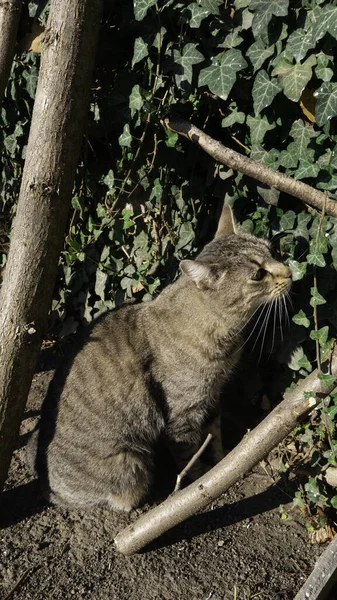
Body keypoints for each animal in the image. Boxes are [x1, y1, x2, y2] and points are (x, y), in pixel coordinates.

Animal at [28, 206, 292, 510]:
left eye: (271, 250)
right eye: (258, 274)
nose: (289, 272)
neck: (224, 334)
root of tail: (46, 487)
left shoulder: (212, 395)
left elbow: (214, 435)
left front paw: (221, 461)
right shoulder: (183, 412)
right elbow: (189, 455)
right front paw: (201, 478)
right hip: (131, 462)